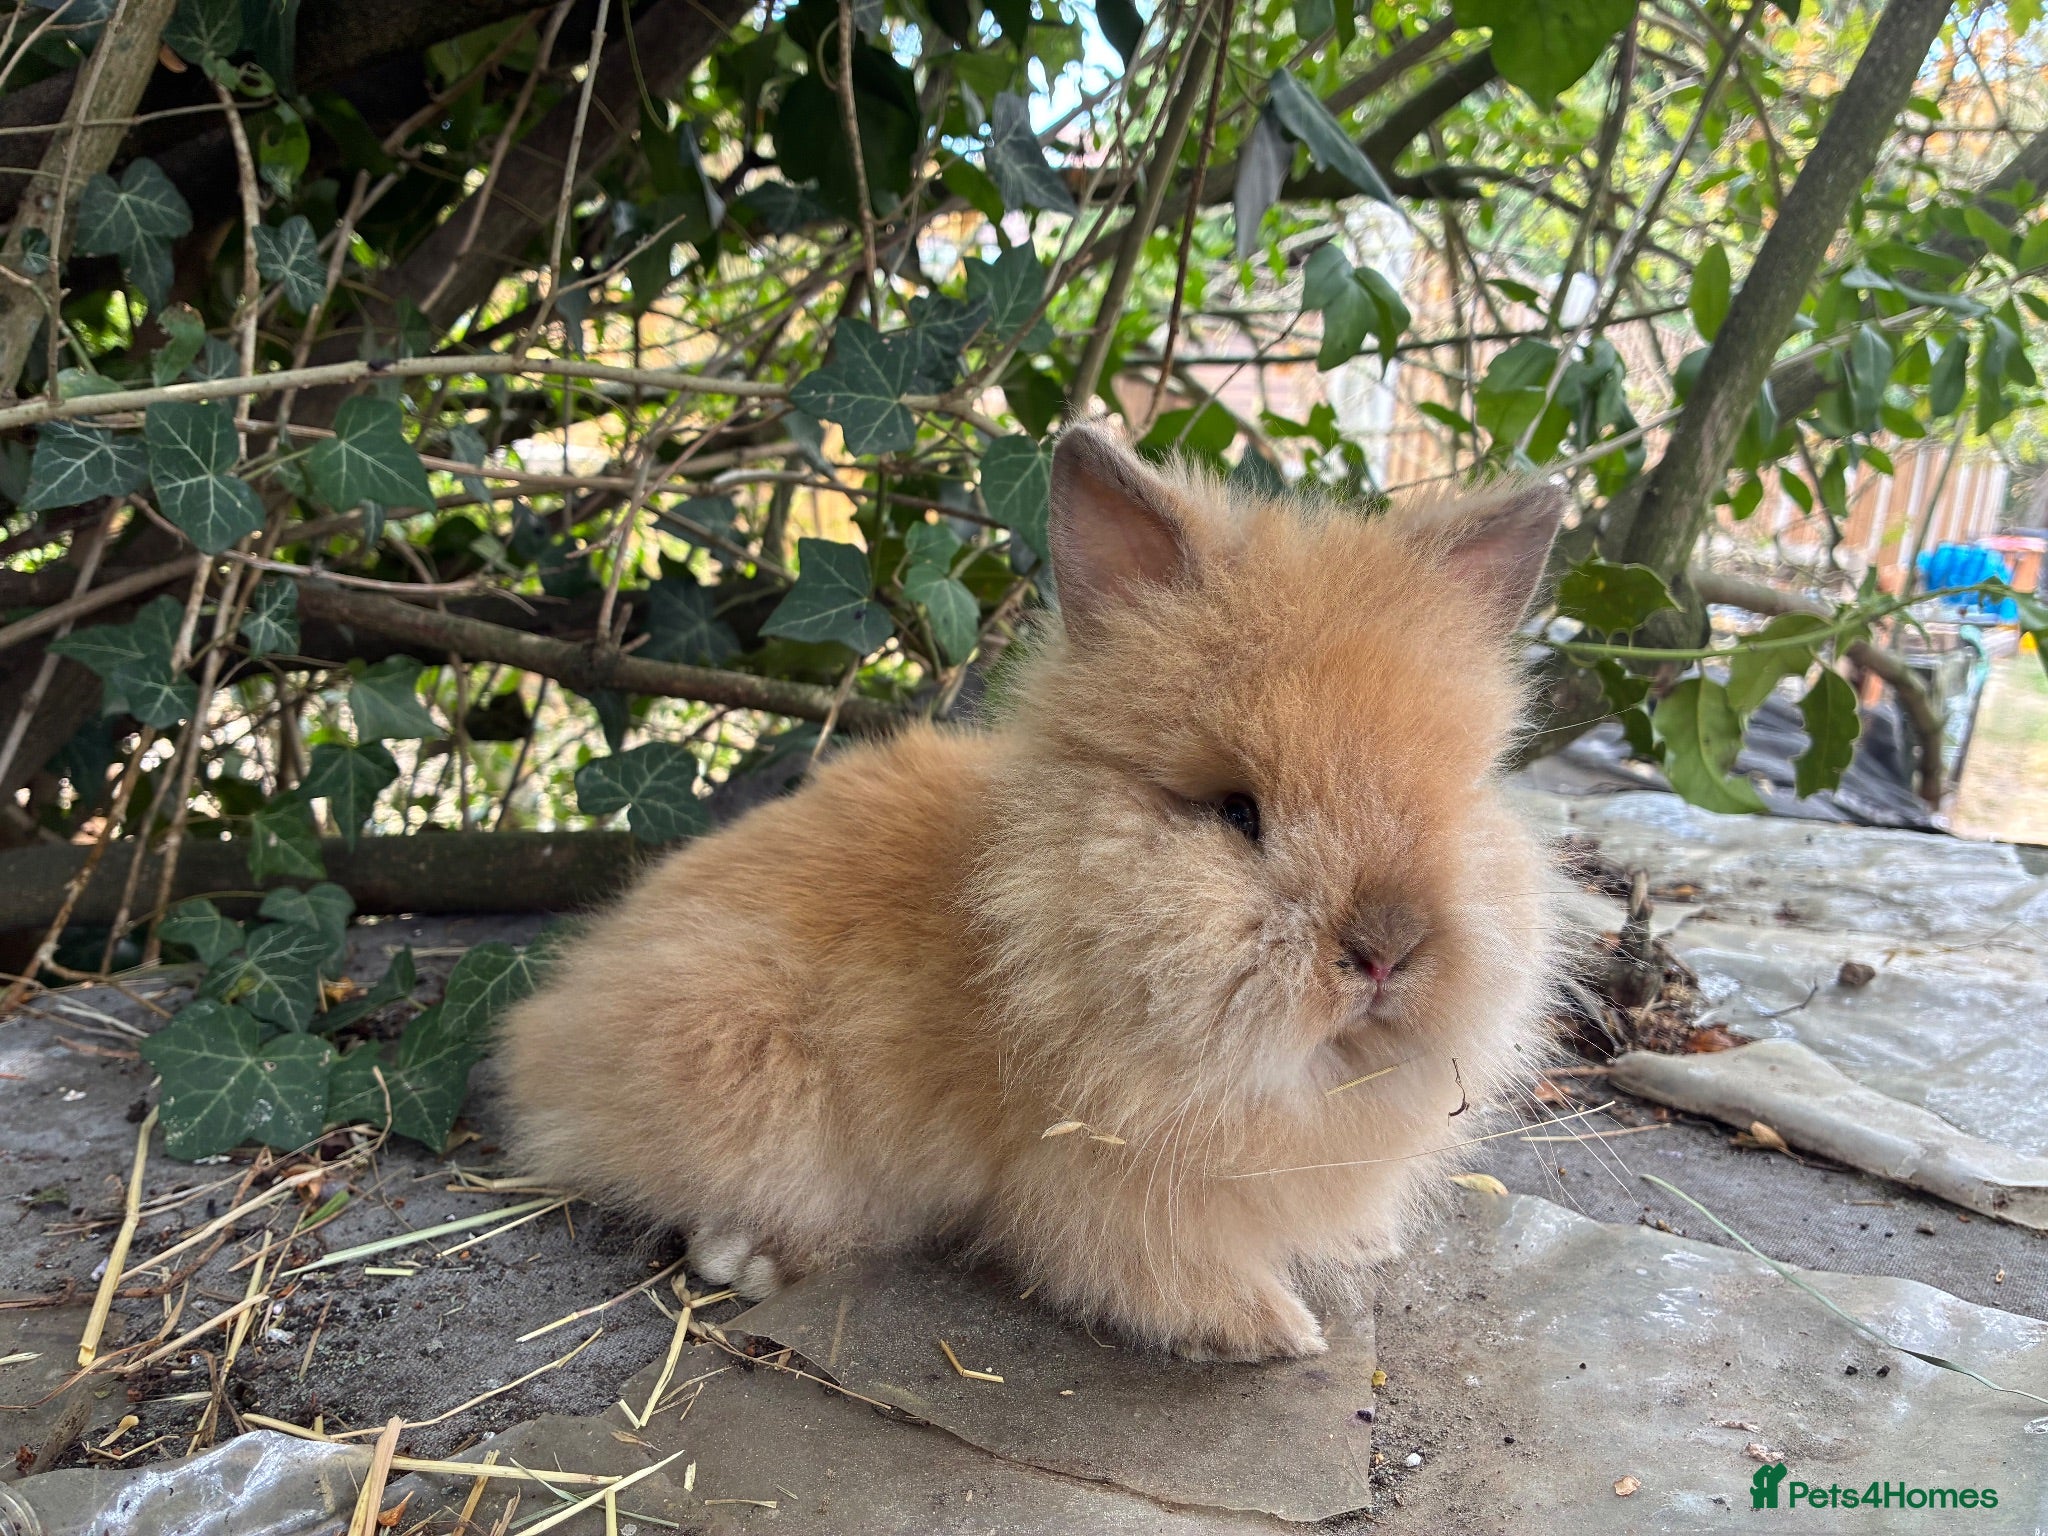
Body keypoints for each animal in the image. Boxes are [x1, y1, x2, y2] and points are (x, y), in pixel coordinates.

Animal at [498, 424, 1565, 1361]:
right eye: (1237, 810)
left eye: (1457, 795)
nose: (1387, 949)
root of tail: (550, 1029)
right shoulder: (1100, 1186)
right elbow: (1153, 1272)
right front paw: (1276, 1335)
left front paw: (1365, 1247)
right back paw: (752, 1258)